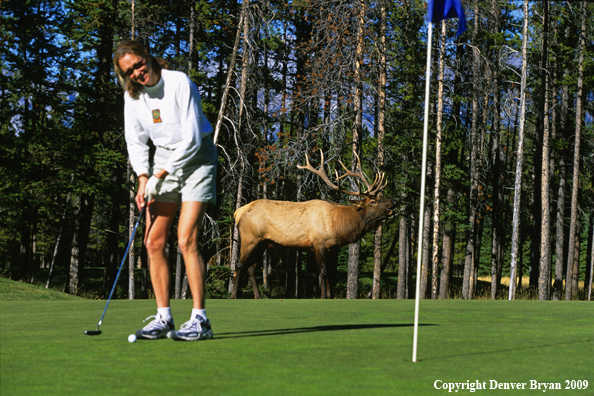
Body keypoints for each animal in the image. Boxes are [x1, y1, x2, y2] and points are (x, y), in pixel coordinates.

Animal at [230, 152, 394, 296]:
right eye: (373, 201)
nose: (393, 201)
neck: (338, 225)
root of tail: (238, 212)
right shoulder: (318, 243)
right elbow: (323, 272)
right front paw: (322, 296)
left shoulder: (330, 248)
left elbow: (328, 275)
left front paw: (329, 296)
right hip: (250, 238)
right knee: (239, 264)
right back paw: (233, 295)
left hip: (263, 243)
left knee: (251, 268)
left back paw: (258, 296)